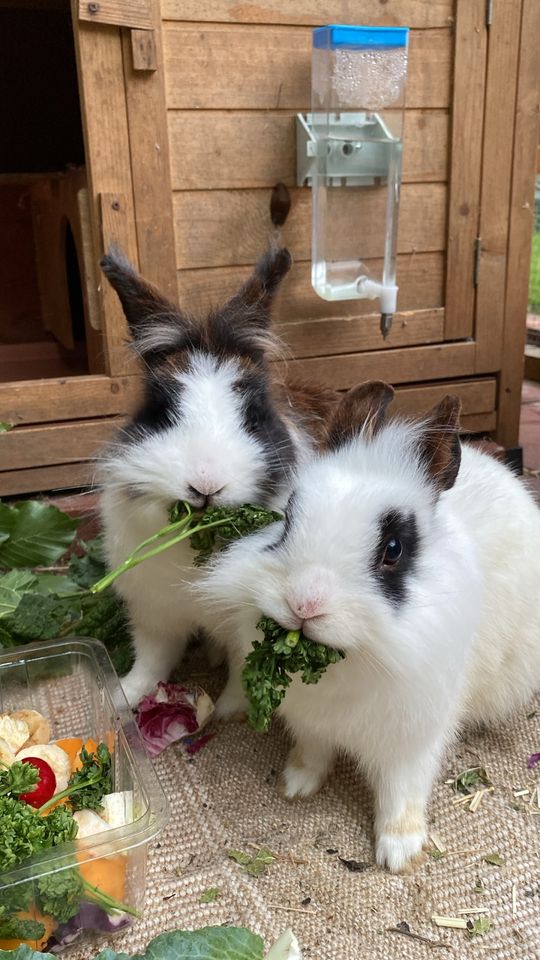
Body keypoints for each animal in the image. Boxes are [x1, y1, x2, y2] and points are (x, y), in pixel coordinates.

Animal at [98, 244, 338, 708]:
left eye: (254, 416)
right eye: (162, 413)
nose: (205, 484)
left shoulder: (248, 630)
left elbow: (242, 667)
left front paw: (229, 709)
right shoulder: (155, 615)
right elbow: (152, 658)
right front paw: (124, 696)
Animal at [200, 380, 540, 872]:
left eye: (393, 549)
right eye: (287, 519)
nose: (304, 602)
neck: (348, 663)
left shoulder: (413, 741)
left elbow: (402, 792)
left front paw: (398, 852)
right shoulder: (312, 724)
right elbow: (312, 753)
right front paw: (296, 784)